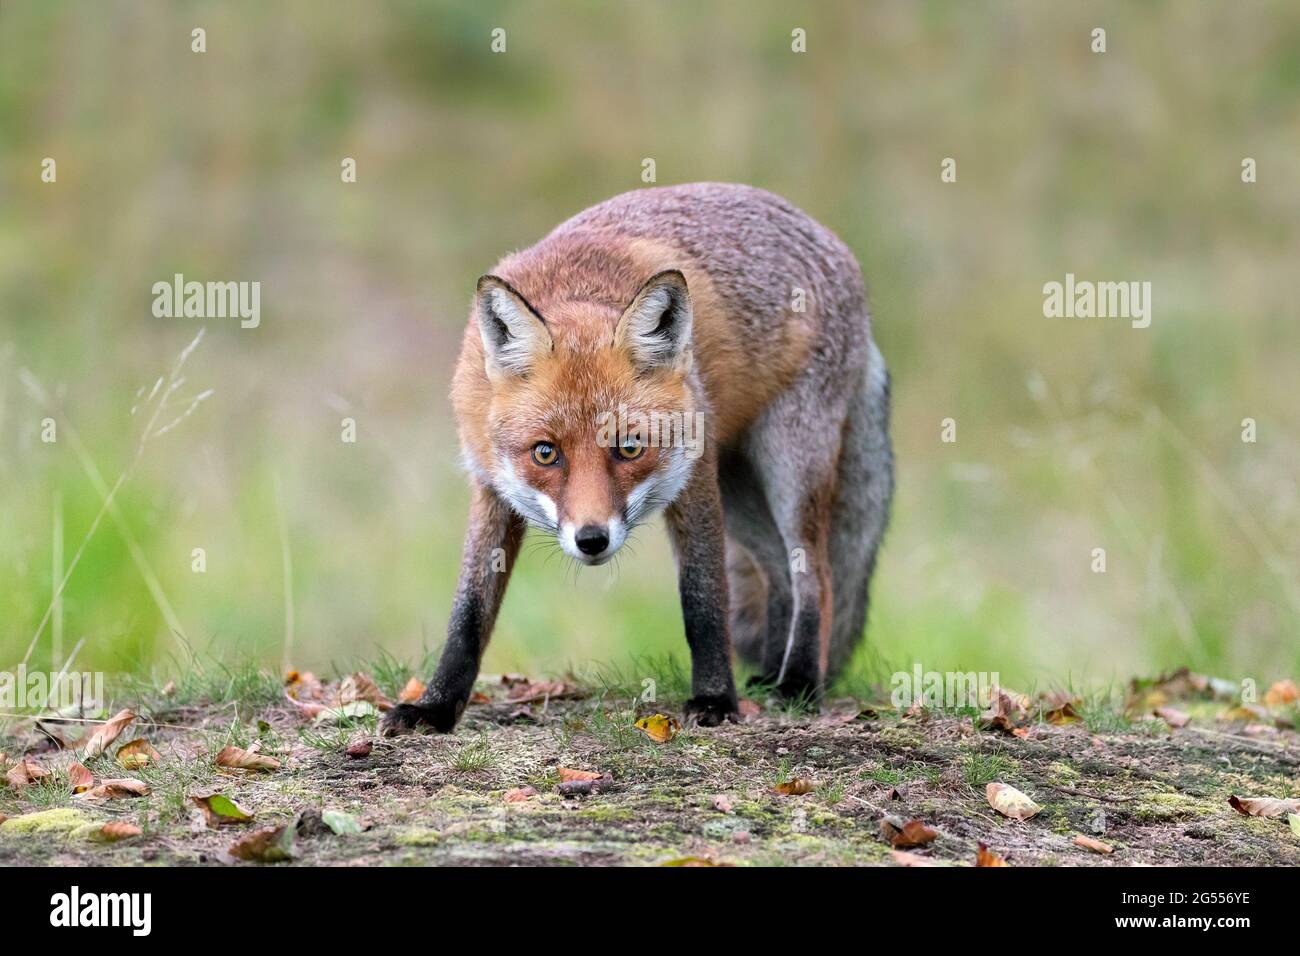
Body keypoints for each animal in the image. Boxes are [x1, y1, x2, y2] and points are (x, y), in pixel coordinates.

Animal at [382, 183, 894, 738]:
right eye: (546, 453)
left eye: (629, 447)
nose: (592, 539)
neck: (579, 286)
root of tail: (827, 236)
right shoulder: (491, 486)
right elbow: (469, 613)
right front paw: (434, 707)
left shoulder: (693, 477)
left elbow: (703, 600)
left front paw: (714, 699)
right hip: (741, 487)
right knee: (779, 571)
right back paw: (769, 677)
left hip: (789, 462)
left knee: (814, 575)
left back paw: (799, 682)